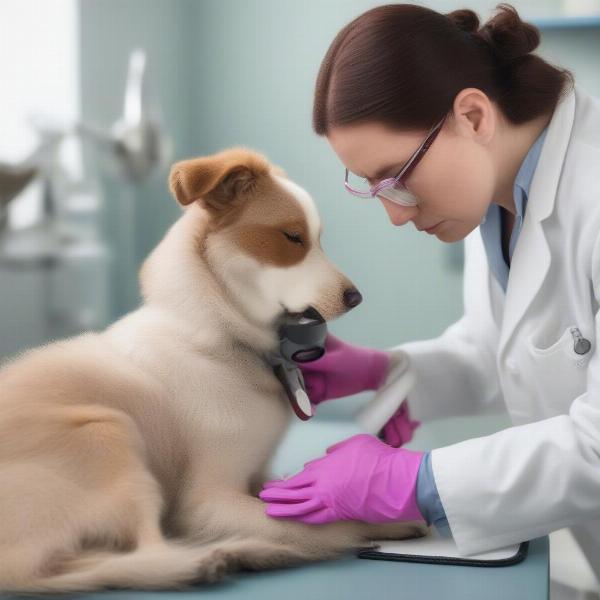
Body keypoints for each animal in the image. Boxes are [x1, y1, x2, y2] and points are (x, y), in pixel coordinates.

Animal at [0, 148, 426, 592]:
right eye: (293, 237)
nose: (355, 298)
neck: (222, 339)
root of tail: (13, 568)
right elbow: (318, 523)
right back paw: (227, 556)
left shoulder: (260, 476)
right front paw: (381, 515)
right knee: (152, 551)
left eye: (319, 239)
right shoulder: (207, 502)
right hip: (108, 432)